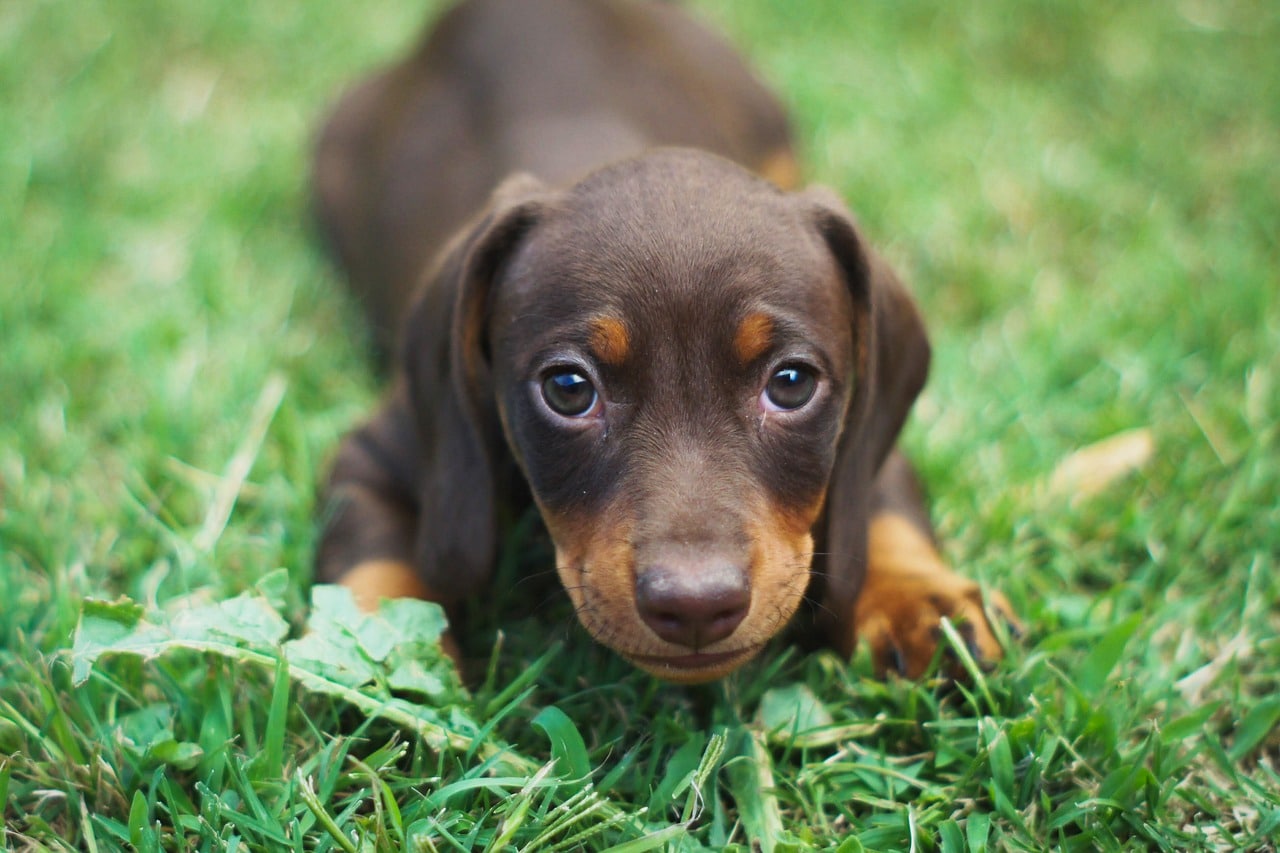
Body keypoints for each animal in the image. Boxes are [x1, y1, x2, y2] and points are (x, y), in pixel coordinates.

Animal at [309, 0, 1008, 681]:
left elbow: (884, 510)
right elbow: (371, 573)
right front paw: (369, 661)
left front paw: (921, 603)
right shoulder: (375, 456)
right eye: (568, 389)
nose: (696, 605)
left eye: (792, 383)